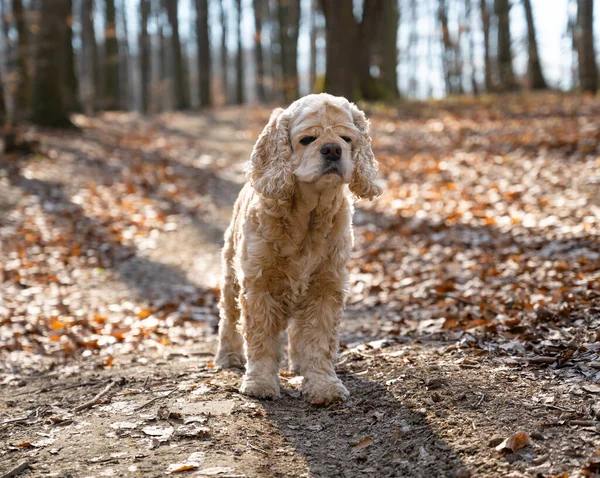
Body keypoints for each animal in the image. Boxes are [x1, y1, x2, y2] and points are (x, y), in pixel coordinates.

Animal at [214, 93, 380, 404]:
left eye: (346, 138)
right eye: (307, 139)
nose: (332, 149)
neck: (309, 217)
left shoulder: (326, 286)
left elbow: (319, 342)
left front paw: (324, 386)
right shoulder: (259, 285)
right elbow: (261, 340)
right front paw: (259, 383)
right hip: (231, 277)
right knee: (228, 319)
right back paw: (227, 357)